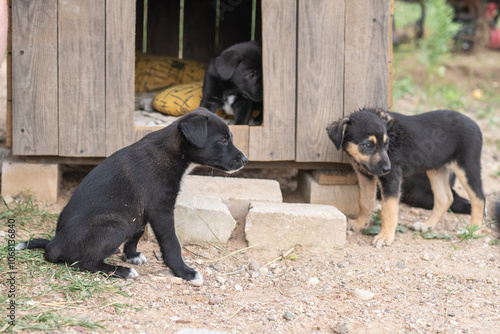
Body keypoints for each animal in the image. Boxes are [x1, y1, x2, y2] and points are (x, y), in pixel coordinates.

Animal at [16, 109, 247, 280]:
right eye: (223, 140)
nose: (245, 160)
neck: (172, 153)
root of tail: (54, 244)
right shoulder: (161, 209)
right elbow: (172, 243)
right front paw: (184, 272)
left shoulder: (141, 211)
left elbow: (138, 232)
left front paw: (131, 255)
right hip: (116, 223)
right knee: (83, 262)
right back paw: (121, 271)